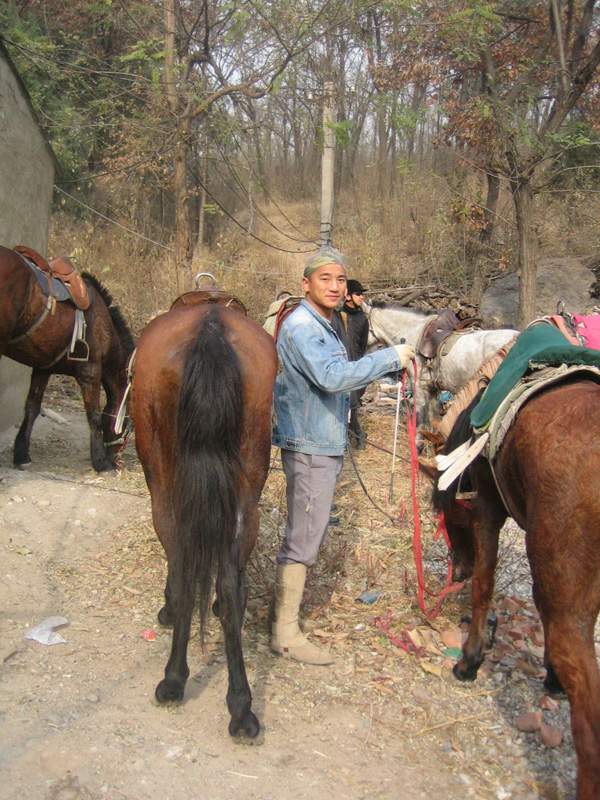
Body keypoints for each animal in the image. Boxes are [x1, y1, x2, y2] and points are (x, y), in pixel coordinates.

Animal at [0, 244, 134, 468]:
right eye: (129, 422)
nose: (117, 459)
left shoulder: (43, 368)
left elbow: (32, 408)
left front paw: (22, 455)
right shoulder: (90, 372)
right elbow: (94, 415)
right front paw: (100, 462)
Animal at [432, 382, 600, 800]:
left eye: (449, 514)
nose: (457, 568)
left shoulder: (488, 509)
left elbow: (484, 584)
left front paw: (470, 660)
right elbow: (538, 605)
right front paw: (552, 676)